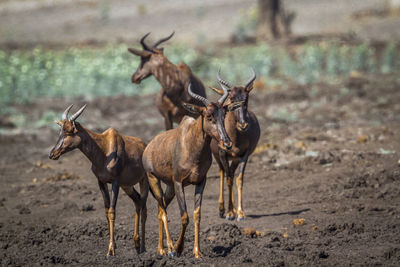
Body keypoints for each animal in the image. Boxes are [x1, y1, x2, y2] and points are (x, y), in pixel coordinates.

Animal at [48, 105, 148, 260]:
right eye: (60, 131)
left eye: (68, 131)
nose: (52, 154)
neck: (104, 148)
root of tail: (145, 145)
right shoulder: (101, 182)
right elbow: (106, 211)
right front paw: (112, 247)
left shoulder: (115, 182)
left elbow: (112, 211)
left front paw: (110, 251)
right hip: (127, 186)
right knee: (137, 202)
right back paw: (137, 245)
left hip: (145, 181)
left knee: (144, 207)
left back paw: (145, 248)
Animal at [142, 83, 242, 258]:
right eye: (208, 116)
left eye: (224, 115)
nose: (227, 143)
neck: (190, 144)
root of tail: (149, 146)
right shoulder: (178, 183)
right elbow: (184, 216)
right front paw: (177, 249)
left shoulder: (201, 182)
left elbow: (197, 215)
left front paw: (197, 252)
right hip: (154, 180)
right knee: (162, 210)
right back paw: (168, 249)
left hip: (169, 188)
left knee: (161, 210)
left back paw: (161, 249)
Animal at [211, 68, 260, 222]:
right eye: (232, 99)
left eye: (246, 98)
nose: (243, 125)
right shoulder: (222, 154)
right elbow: (228, 179)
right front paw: (229, 213)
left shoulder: (244, 155)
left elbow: (239, 179)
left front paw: (240, 213)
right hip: (218, 157)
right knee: (223, 173)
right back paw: (222, 210)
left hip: (235, 159)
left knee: (231, 173)